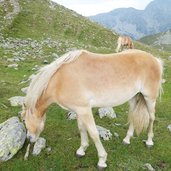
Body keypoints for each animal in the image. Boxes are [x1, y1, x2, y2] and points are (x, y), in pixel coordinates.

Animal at [21, 48, 163, 169]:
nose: (30, 139)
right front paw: (81, 150)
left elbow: (94, 133)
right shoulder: (79, 110)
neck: (61, 80)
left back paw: (149, 141)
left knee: (151, 118)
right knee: (133, 116)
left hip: (149, 98)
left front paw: (102, 160)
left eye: (25, 121)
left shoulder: (85, 110)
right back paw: (127, 140)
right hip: (133, 98)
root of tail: (155, 59)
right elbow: (82, 129)